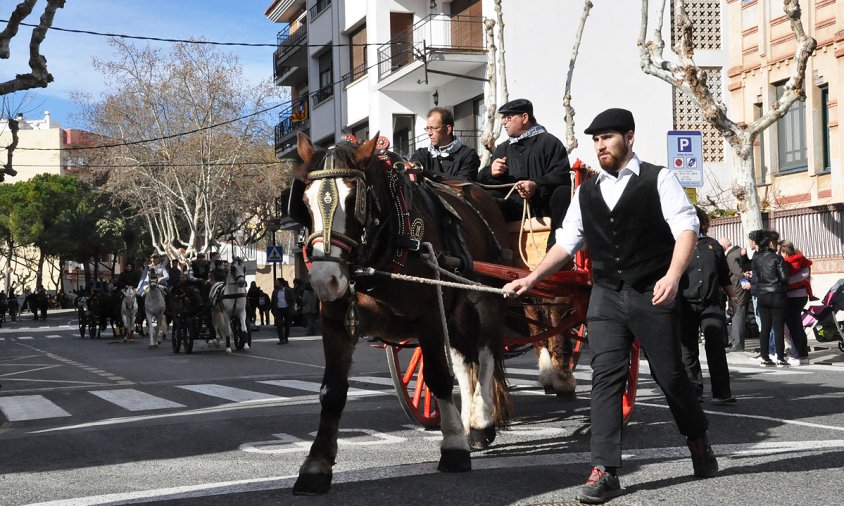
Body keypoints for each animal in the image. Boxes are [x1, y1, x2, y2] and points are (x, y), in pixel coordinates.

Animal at [290, 131, 512, 494]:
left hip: (486, 298)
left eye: (354, 201)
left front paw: (453, 448)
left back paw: (480, 421)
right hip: (456, 311)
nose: (325, 279)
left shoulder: (430, 317)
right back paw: (470, 422)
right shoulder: (334, 321)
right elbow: (332, 392)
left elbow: (437, 376)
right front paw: (316, 465)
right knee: (464, 360)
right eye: (306, 203)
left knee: (486, 354)